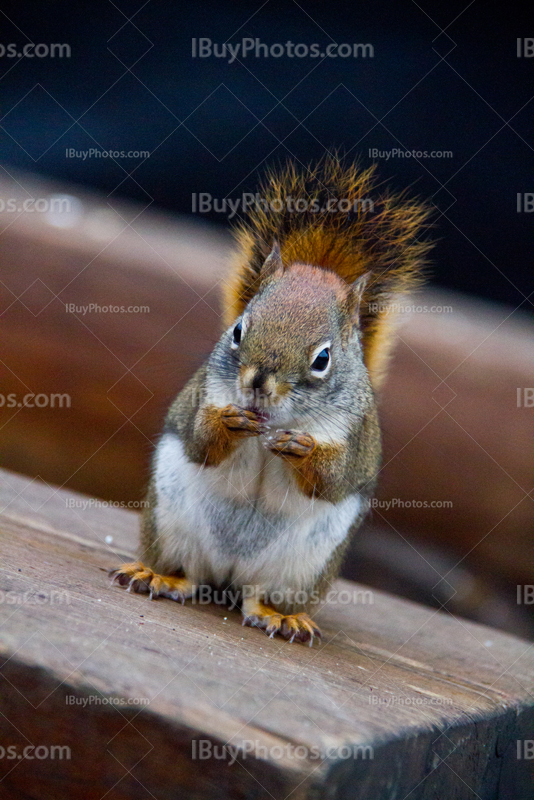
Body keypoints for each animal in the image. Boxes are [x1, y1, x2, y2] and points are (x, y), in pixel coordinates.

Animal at [110, 156, 432, 644]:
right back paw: (159, 576)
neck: (271, 418)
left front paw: (302, 448)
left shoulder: (353, 435)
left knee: (260, 596)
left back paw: (281, 617)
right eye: (239, 330)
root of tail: (229, 575)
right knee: (188, 573)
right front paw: (228, 423)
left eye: (323, 359)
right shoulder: (204, 396)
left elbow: (332, 478)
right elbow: (200, 442)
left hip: (303, 568)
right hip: (169, 524)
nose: (258, 382)